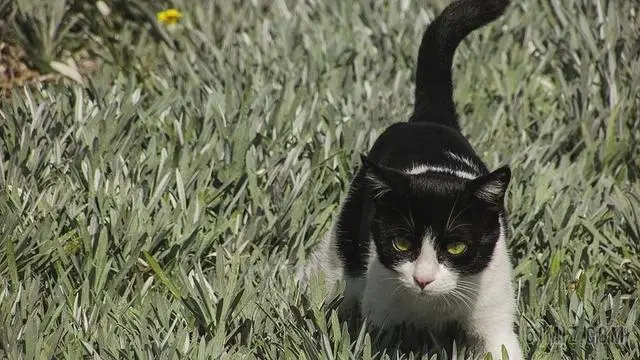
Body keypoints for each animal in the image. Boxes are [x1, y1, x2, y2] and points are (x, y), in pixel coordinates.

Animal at [298, 0, 524, 358]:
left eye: (457, 247)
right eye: (402, 243)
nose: (423, 279)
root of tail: (427, 119)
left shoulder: (495, 315)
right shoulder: (380, 315)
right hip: (348, 235)